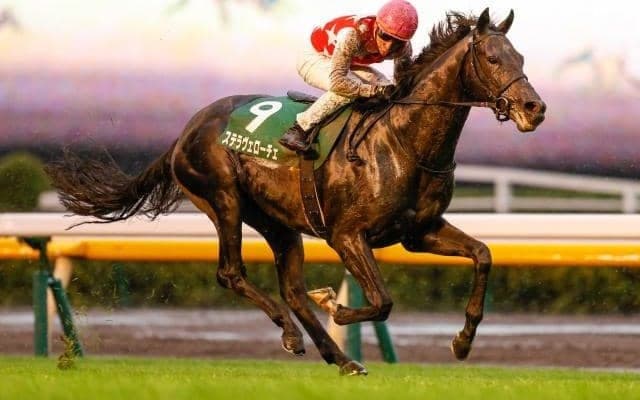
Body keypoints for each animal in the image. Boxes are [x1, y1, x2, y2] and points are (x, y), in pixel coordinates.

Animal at [45, 8, 546, 375]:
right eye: (494, 59)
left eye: (521, 58)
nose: (534, 108)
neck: (403, 139)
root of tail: (185, 132)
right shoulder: (347, 235)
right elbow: (381, 300)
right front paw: (336, 306)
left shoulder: (418, 232)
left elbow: (483, 255)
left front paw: (462, 341)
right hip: (224, 200)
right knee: (232, 274)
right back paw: (292, 334)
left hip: (278, 223)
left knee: (291, 289)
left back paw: (341, 359)